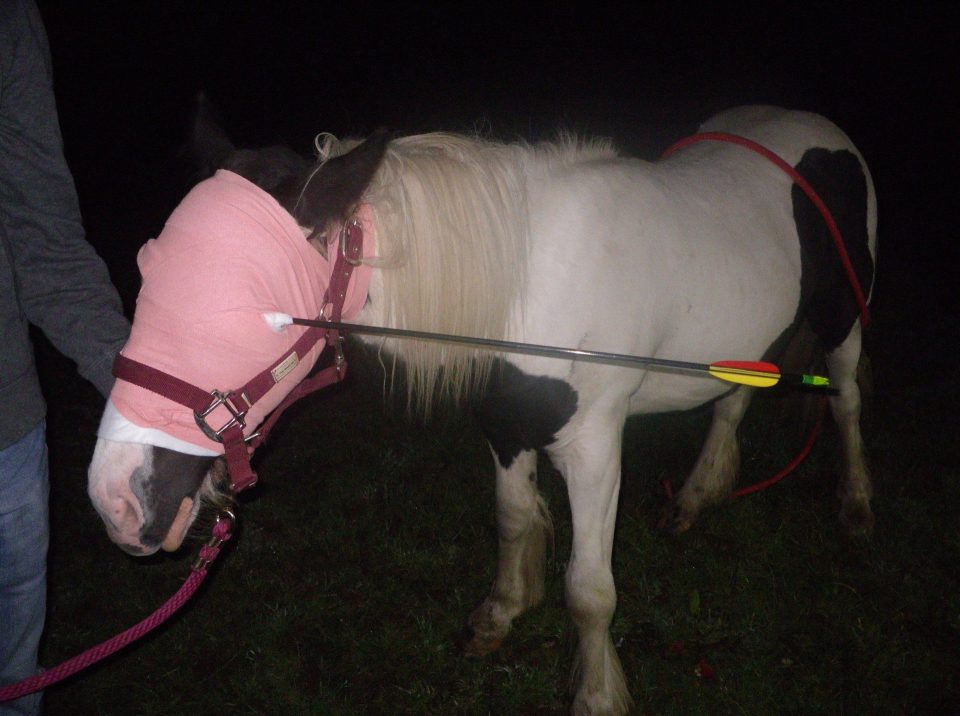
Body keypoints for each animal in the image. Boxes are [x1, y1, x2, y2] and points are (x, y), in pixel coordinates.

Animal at [88, 103, 876, 712]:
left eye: (242, 308)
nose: (117, 499)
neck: (528, 283)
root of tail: (819, 126)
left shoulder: (594, 446)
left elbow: (590, 590)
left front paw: (596, 693)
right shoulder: (504, 422)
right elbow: (512, 517)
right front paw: (500, 613)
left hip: (843, 319)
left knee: (846, 403)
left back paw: (856, 507)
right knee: (735, 399)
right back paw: (694, 496)